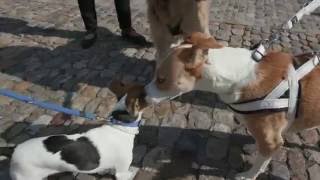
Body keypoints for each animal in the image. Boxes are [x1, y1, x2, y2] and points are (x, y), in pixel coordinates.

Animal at [144, 32, 320, 180]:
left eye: (161, 79)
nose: (143, 95)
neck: (240, 76)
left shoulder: (271, 142)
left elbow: (259, 165)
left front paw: (248, 176)